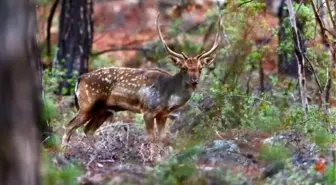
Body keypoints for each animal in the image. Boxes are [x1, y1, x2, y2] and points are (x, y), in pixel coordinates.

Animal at [61, 13, 222, 150]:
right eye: (184, 68)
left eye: (200, 68)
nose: (194, 80)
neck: (168, 95)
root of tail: (79, 79)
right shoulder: (148, 110)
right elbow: (152, 139)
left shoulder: (163, 114)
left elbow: (163, 138)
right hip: (87, 104)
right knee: (69, 126)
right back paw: (63, 153)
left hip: (104, 110)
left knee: (88, 129)